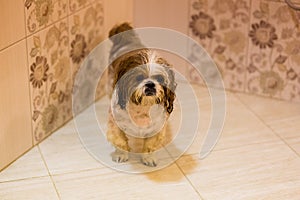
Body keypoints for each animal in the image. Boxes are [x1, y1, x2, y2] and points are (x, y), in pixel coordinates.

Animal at [106, 22, 176, 167]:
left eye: (159, 79)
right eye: (139, 78)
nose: (150, 84)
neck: (142, 108)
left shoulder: (156, 127)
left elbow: (150, 144)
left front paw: (148, 158)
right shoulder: (115, 124)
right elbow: (120, 141)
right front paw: (121, 155)